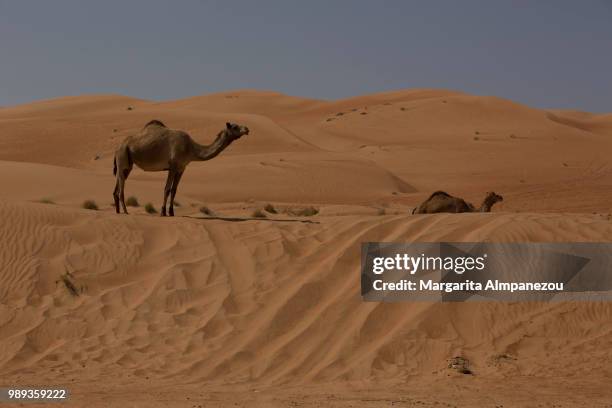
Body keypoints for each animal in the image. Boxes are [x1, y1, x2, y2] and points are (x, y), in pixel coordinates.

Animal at [112, 120, 249, 217]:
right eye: (235, 127)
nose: (247, 129)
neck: (190, 148)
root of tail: (118, 146)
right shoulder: (172, 166)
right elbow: (167, 189)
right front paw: (163, 212)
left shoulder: (181, 168)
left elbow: (174, 190)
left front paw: (172, 212)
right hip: (123, 156)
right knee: (121, 187)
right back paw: (125, 211)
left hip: (127, 165)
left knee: (118, 184)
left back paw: (118, 211)